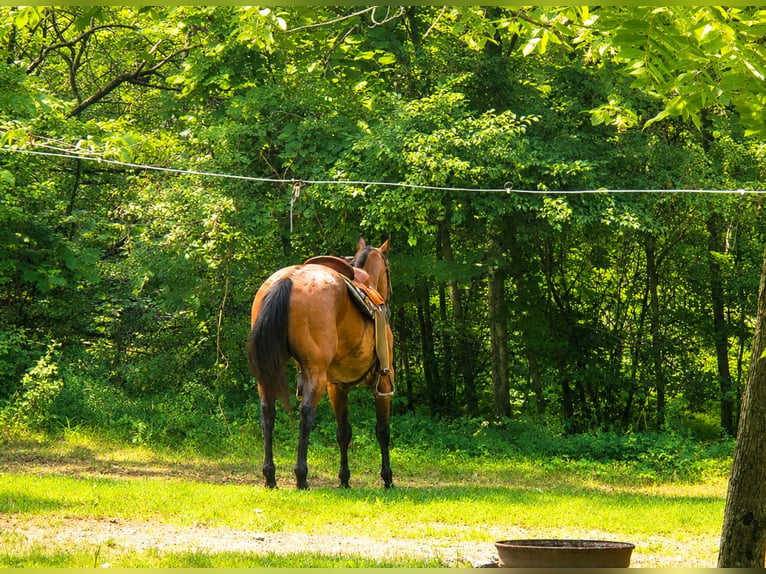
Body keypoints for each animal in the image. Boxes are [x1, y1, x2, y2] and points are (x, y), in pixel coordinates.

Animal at [247, 236, 394, 489]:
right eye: (389, 268)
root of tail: (289, 279)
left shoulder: (337, 386)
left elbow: (343, 432)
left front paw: (344, 479)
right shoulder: (383, 381)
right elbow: (382, 431)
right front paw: (387, 478)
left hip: (267, 373)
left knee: (268, 412)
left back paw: (270, 477)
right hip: (316, 373)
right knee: (306, 412)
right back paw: (301, 476)